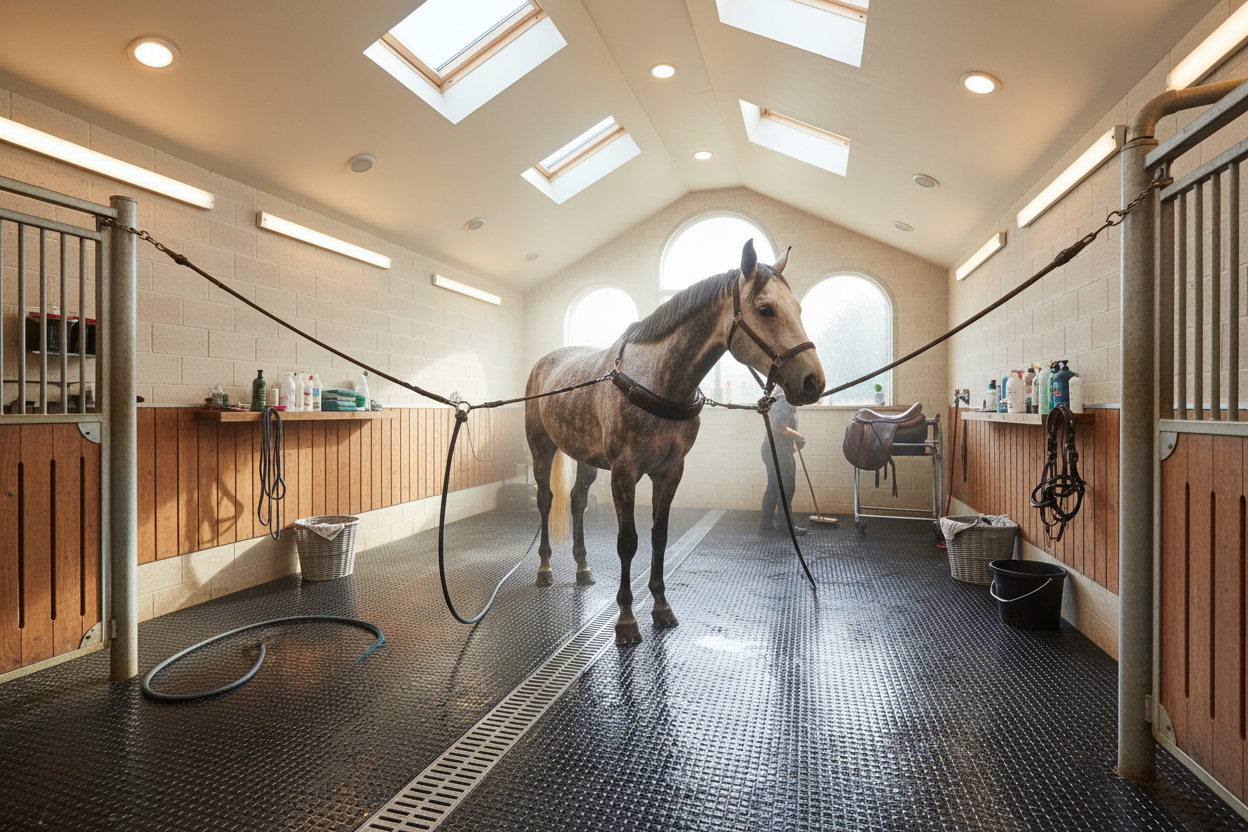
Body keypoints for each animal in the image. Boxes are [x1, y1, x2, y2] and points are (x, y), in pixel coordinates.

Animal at [524, 240, 825, 645]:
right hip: (541, 448)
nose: (813, 381)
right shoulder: (624, 472)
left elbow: (660, 536)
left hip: (585, 457)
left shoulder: (670, 471)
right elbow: (628, 541)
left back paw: (583, 567)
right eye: (765, 309)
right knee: (545, 500)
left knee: (577, 501)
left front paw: (661, 606)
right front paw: (626, 619)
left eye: (798, 308)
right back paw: (544, 569)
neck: (657, 381)